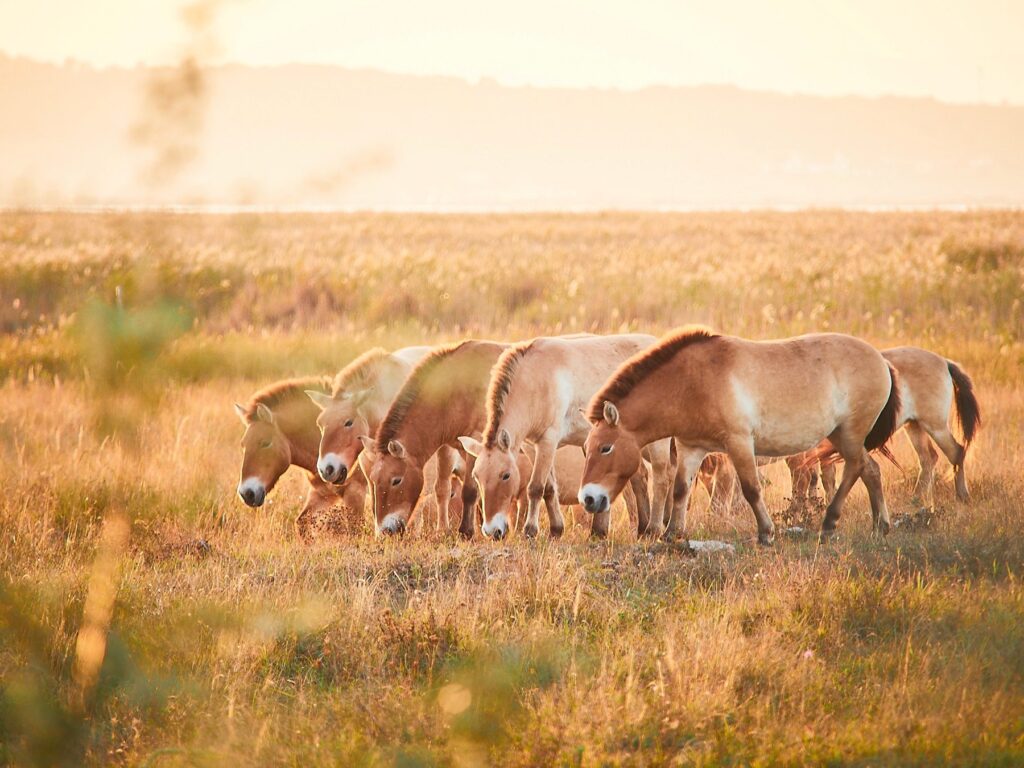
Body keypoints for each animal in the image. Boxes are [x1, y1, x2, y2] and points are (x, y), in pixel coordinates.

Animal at [234, 377, 367, 540]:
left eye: (265, 443)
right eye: (243, 445)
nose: (246, 494)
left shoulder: (355, 492)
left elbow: (355, 531)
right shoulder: (322, 493)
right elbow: (301, 523)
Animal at [358, 340, 509, 537]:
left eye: (396, 480)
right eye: (374, 480)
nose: (384, 531)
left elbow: (470, 490)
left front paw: (466, 532)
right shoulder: (448, 447)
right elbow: (445, 488)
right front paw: (448, 530)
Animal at [461, 335, 676, 540]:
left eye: (505, 475)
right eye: (476, 476)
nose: (491, 531)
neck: (534, 379)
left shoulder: (548, 441)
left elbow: (536, 487)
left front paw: (530, 531)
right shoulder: (533, 446)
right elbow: (549, 488)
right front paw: (556, 529)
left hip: (657, 442)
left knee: (661, 478)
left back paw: (654, 529)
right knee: (640, 478)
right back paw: (640, 529)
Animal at [578, 327, 901, 543]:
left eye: (606, 448)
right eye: (587, 447)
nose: (589, 499)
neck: (691, 382)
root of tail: (881, 361)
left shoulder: (739, 443)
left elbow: (751, 489)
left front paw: (766, 533)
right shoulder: (690, 447)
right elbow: (681, 489)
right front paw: (671, 535)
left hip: (850, 435)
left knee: (856, 468)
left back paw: (830, 523)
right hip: (840, 436)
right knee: (870, 470)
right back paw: (880, 526)